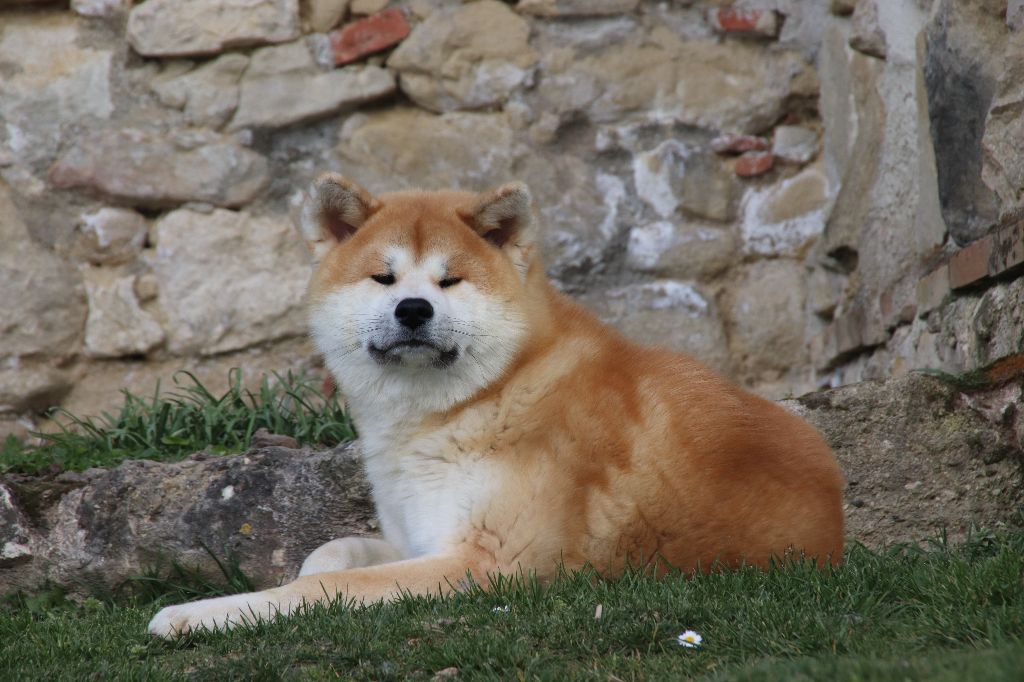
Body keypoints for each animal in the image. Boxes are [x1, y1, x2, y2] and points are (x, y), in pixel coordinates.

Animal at [148, 173, 843, 634]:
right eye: (384, 277)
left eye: (450, 280)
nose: (414, 309)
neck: (483, 397)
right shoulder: (423, 538)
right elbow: (326, 555)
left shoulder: (489, 565)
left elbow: (324, 585)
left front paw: (193, 614)